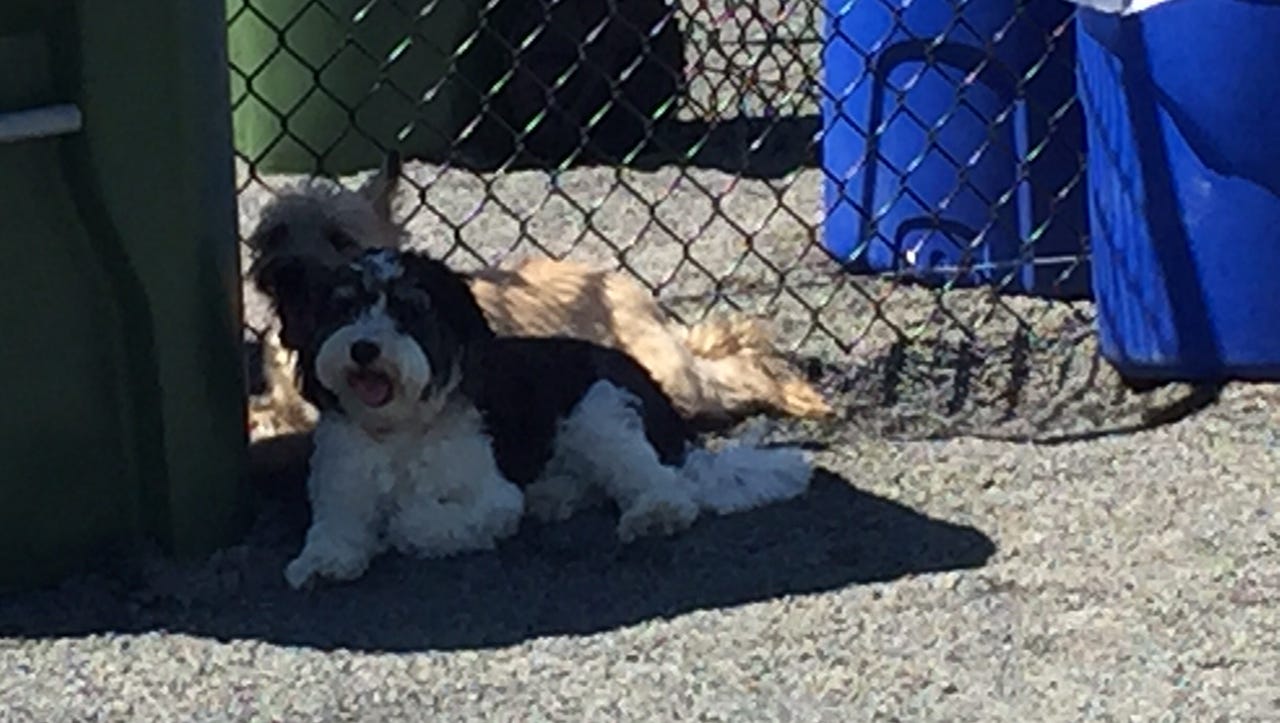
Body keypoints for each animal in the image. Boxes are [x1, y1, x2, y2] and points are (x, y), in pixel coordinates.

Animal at [243, 153, 832, 442]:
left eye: (339, 238)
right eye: (273, 235)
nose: (284, 272)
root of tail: (627, 287)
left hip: (668, 375)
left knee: (738, 367)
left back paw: (797, 395)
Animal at [258, 247, 813, 588]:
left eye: (409, 311)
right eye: (344, 309)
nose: (364, 349)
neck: (401, 427)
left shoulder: (491, 497)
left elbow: (421, 521)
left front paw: (400, 526)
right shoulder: (341, 494)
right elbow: (334, 532)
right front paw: (323, 562)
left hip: (600, 410)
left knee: (664, 485)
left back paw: (652, 513)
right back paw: (555, 495)